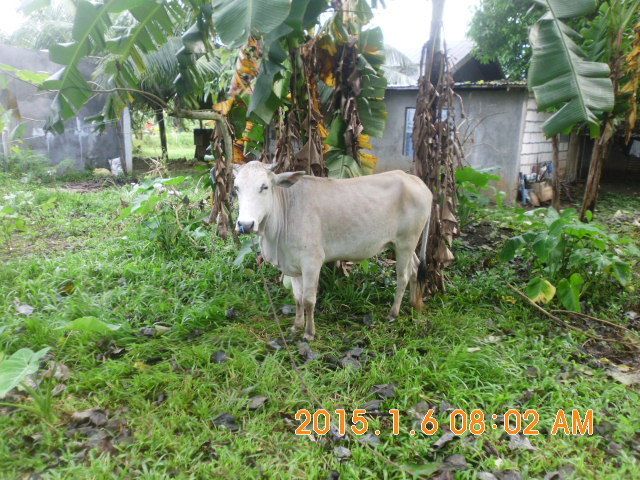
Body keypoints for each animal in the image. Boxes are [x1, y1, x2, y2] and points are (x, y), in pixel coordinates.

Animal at [233, 161, 432, 341]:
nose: (245, 225)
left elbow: (308, 300)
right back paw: (415, 303)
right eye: (236, 188)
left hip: (406, 242)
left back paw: (393, 313)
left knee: (403, 276)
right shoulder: (292, 266)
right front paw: (296, 326)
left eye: (264, 186)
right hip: (400, 244)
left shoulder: (312, 262)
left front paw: (309, 333)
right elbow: (297, 298)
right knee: (415, 269)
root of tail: (417, 182)